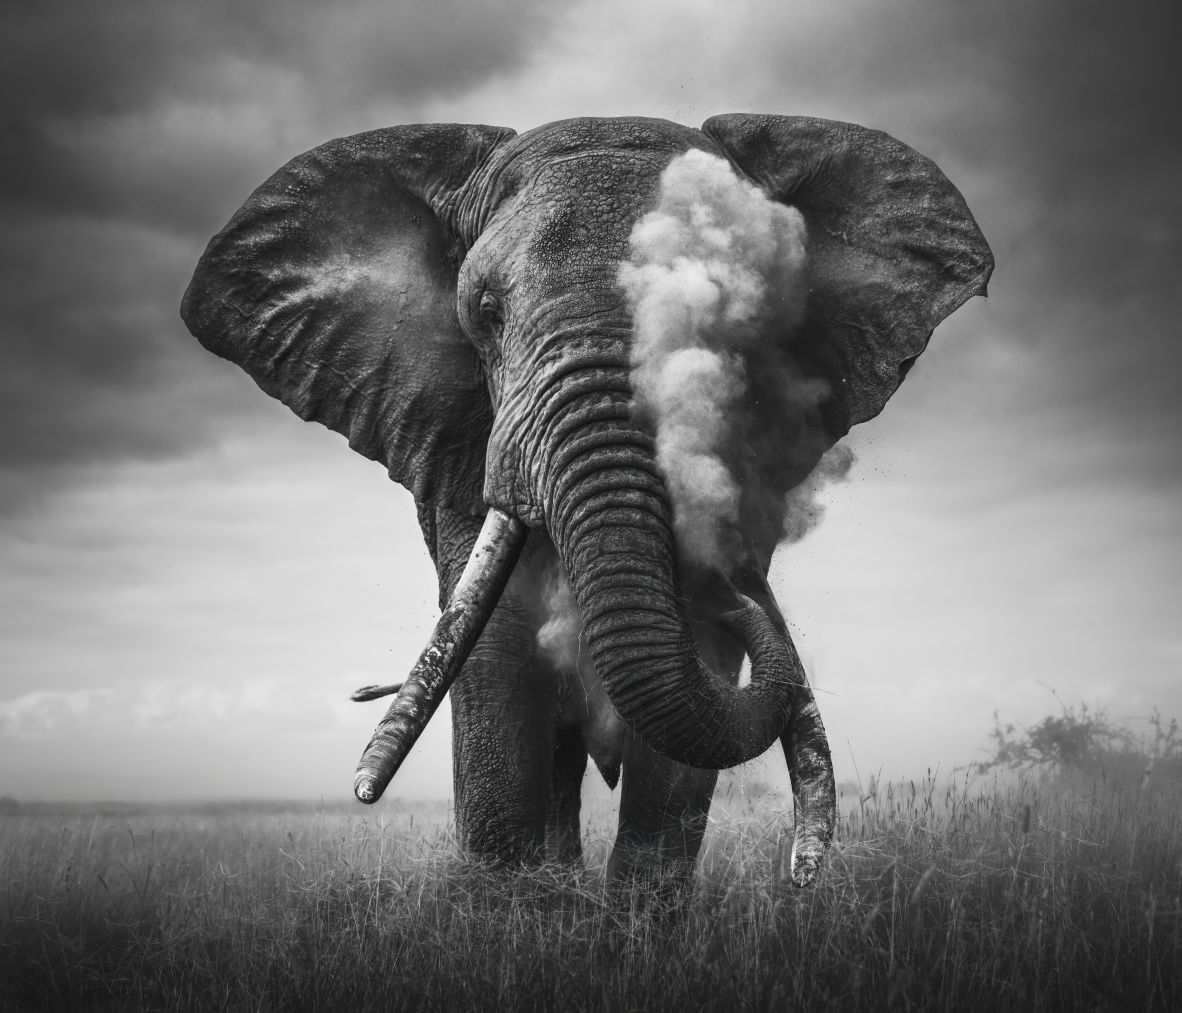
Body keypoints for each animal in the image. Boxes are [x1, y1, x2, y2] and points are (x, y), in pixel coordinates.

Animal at [181, 115, 992, 890]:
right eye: (486, 311)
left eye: (738, 321)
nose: (801, 878)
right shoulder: (457, 432)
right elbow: (498, 646)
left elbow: (693, 697)